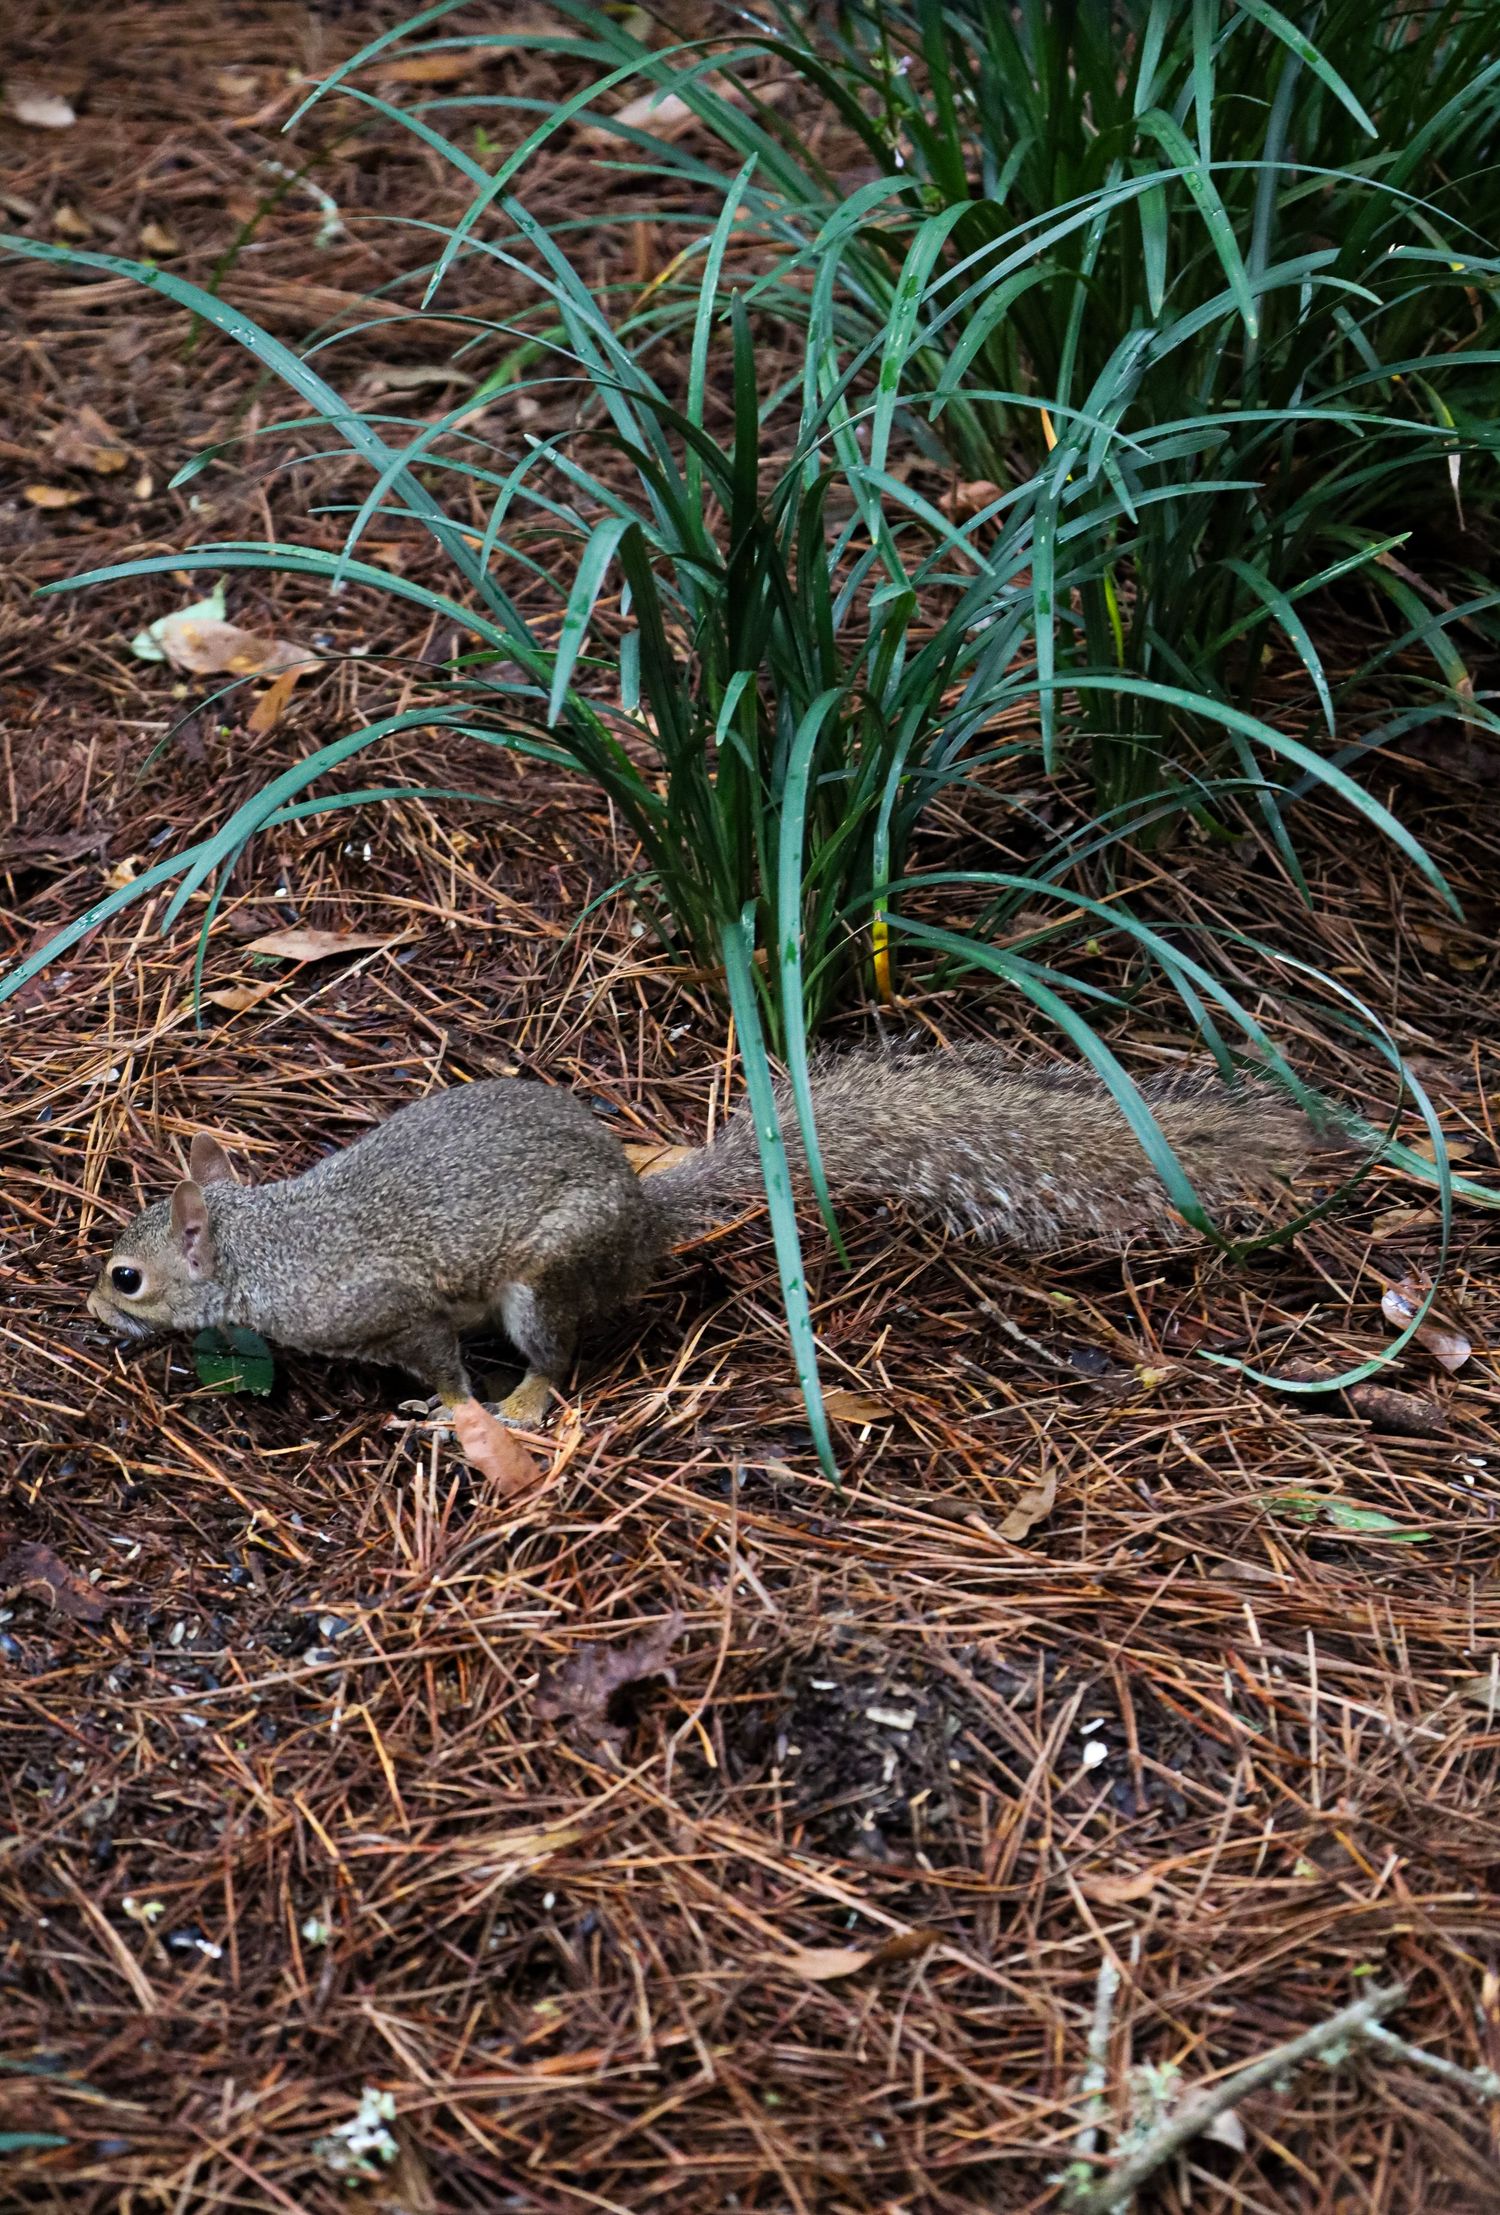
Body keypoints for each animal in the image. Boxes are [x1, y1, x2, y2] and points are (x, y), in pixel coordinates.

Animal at [87, 1045, 1324, 1424]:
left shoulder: (382, 1306)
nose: (93, 1312)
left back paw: (526, 1405)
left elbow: (438, 1364)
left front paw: (452, 1416)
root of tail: (642, 1220)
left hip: (544, 1279)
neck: (269, 1243)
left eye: (127, 1274)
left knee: (559, 1351)